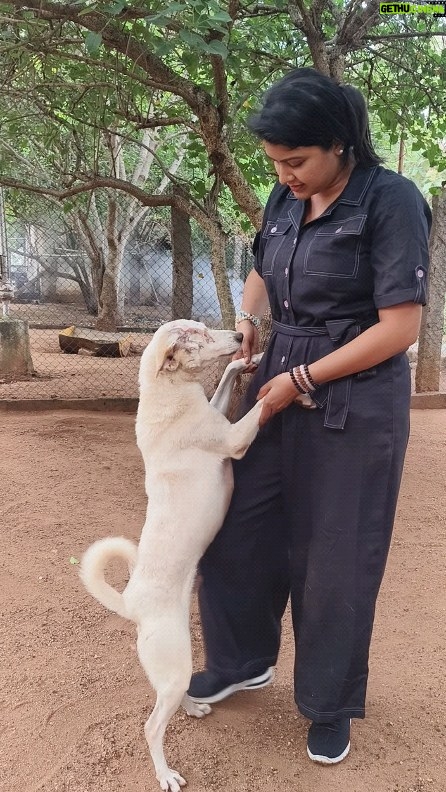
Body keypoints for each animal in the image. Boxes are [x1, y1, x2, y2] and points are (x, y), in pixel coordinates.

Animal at [79, 320, 264, 792]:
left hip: (175, 669)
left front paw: (247, 361)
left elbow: (224, 383)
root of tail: (131, 604)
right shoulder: (234, 438)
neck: (168, 390)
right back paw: (165, 774)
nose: (241, 336)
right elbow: (261, 406)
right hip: (176, 663)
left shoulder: (218, 410)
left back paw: (194, 707)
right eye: (198, 337)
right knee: (151, 727)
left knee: (171, 701)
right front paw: (289, 381)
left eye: (205, 326)